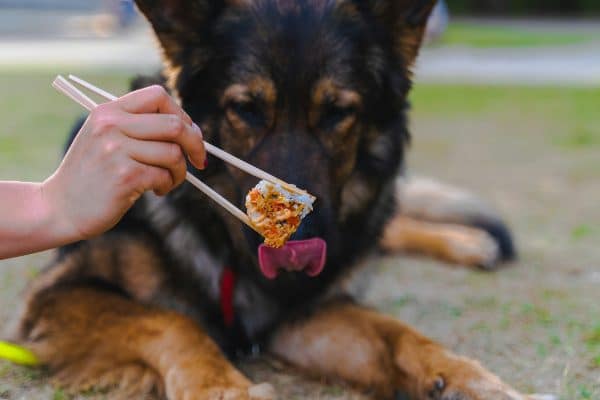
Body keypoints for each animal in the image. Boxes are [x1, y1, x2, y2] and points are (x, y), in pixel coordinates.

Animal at [12, 0, 540, 400]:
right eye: (246, 108)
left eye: (338, 112)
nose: (300, 250)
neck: (227, 245)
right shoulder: (60, 294)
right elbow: (170, 321)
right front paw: (222, 387)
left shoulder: (304, 315)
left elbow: (397, 334)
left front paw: (471, 378)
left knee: (393, 229)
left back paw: (469, 242)